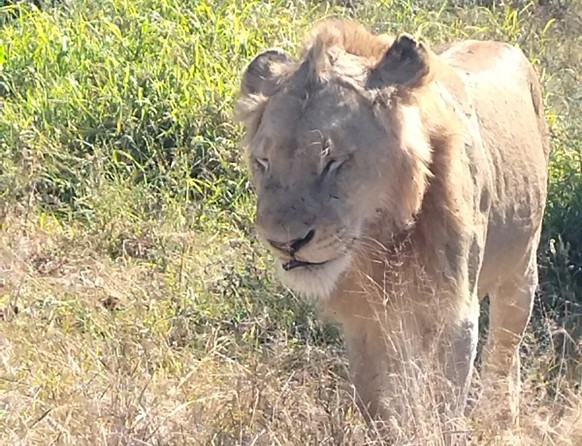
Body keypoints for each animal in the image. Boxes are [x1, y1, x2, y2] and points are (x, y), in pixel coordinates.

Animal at [234, 18, 552, 440]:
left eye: (333, 161)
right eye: (263, 161)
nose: (285, 243)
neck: (381, 242)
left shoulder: (452, 317)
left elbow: (442, 408)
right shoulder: (365, 322)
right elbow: (378, 405)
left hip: (521, 271)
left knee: (504, 350)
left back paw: (501, 417)